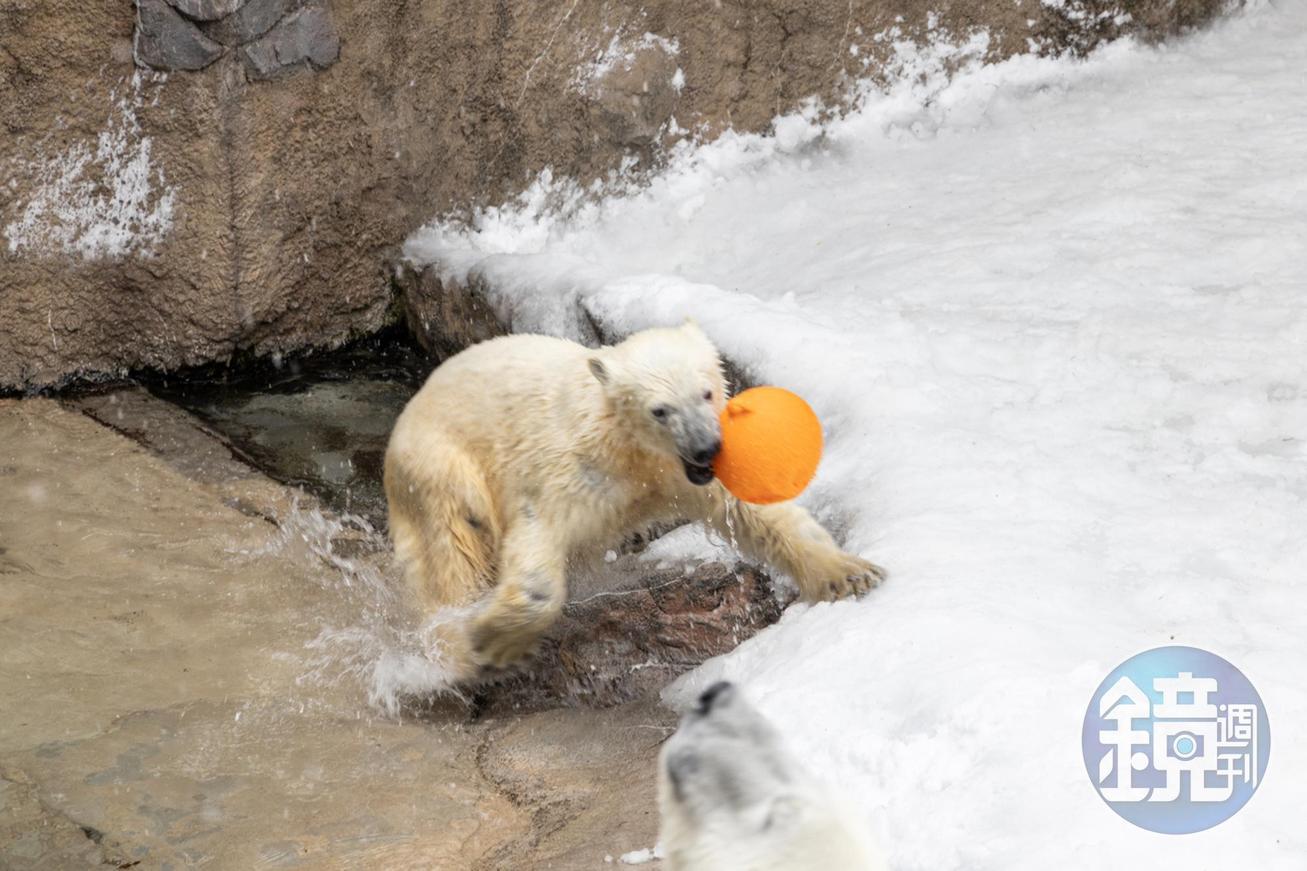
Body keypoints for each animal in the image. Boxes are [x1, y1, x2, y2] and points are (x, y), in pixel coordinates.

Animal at [382, 322, 884, 681]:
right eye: (660, 410)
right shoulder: (570, 469)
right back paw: (450, 649)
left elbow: (755, 512)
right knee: (454, 552)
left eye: (705, 391)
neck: (634, 452)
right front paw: (492, 641)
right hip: (441, 467)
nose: (706, 448)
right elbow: (539, 536)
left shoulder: (691, 475)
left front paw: (851, 574)